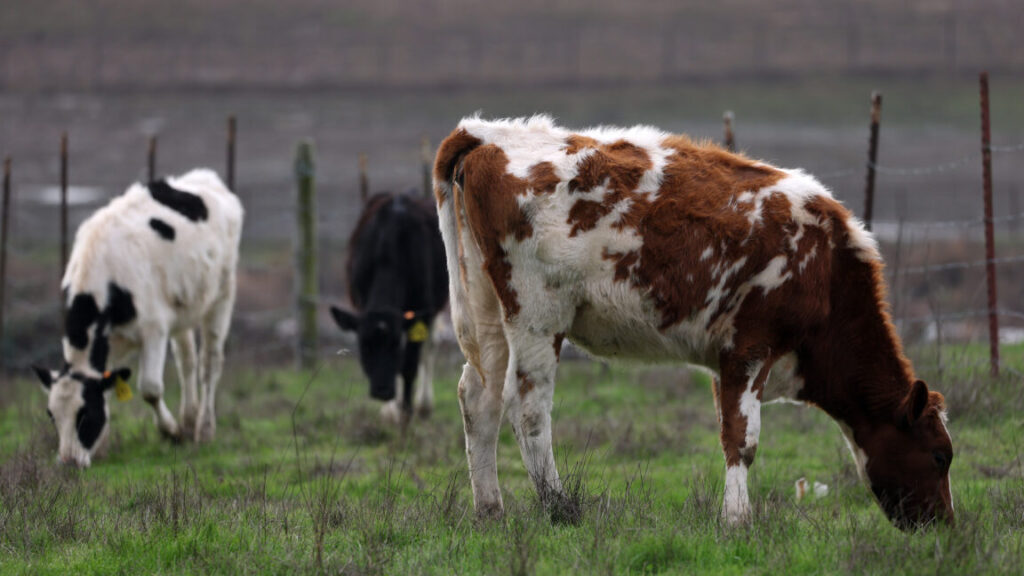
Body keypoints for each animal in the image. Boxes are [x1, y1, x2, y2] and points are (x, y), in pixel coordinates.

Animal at [33, 168, 241, 463]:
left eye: (85, 413)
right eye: (52, 416)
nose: (69, 462)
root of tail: (203, 177)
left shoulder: (154, 329)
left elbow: (150, 388)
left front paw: (171, 432)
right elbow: (109, 386)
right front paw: (102, 447)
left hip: (222, 293)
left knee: (209, 363)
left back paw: (203, 429)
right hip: (183, 308)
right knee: (186, 362)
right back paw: (189, 420)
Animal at [331, 191, 448, 422]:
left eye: (394, 345)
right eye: (365, 346)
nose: (382, 391)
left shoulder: (423, 310)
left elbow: (409, 364)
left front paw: (407, 411)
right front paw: (393, 410)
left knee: (429, 346)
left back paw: (423, 405)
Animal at [430, 114, 950, 528]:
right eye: (940, 455)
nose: (944, 524)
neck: (825, 267)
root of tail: (488, 133)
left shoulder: (726, 358)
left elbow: (729, 434)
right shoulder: (750, 346)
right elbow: (742, 440)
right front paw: (738, 520)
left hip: (489, 314)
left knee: (479, 400)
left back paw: (490, 510)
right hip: (537, 314)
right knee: (528, 410)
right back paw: (560, 506)